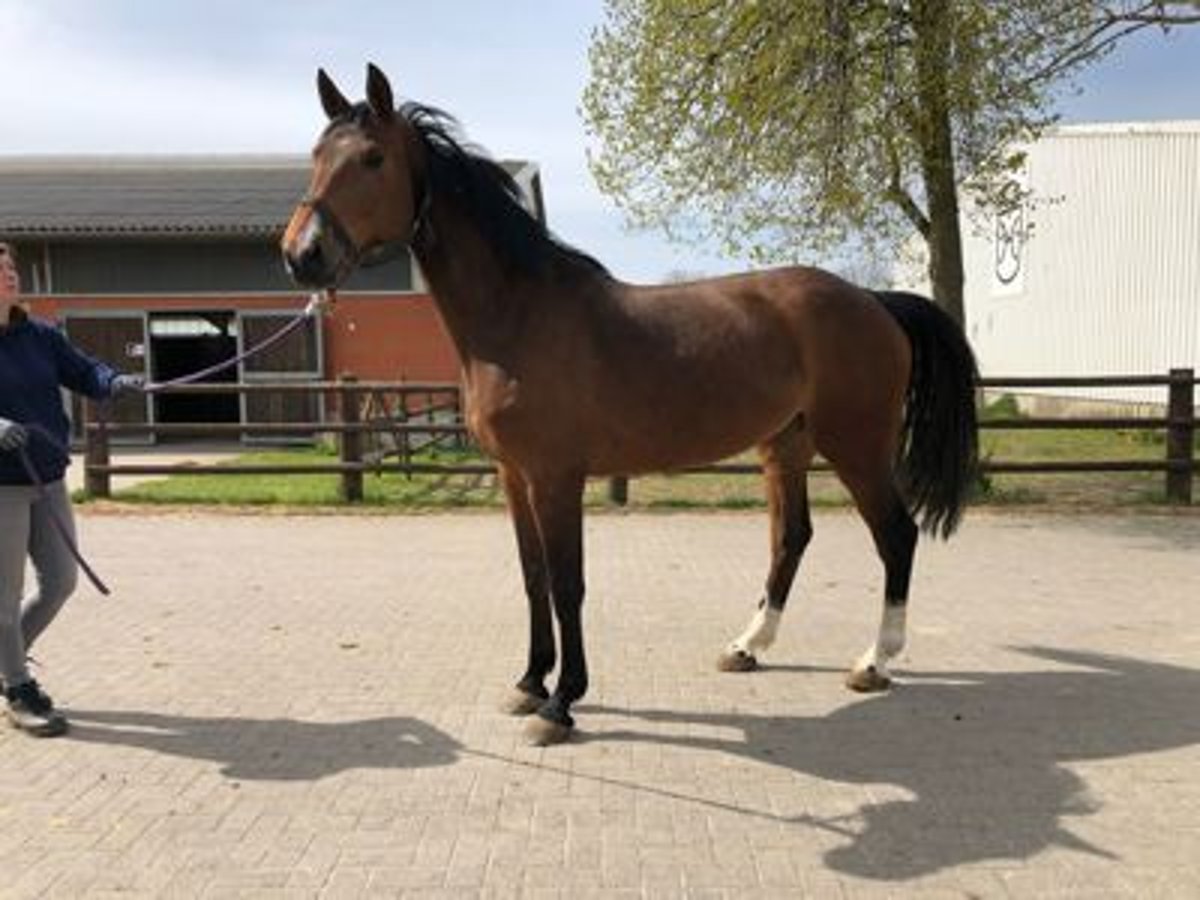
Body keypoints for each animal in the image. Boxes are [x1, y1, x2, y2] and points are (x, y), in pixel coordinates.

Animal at [283, 65, 984, 748]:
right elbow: (533, 577)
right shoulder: (515, 475)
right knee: (792, 538)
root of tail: (873, 300)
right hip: (786, 443)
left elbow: (567, 584)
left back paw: (874, 661)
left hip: (856, 445)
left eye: (372, 158)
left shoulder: (556, 477)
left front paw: (561, 702)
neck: (520, 315)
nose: (301, 254)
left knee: (896, 534)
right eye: (316, 155)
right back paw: (748, 646)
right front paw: (529, 682)